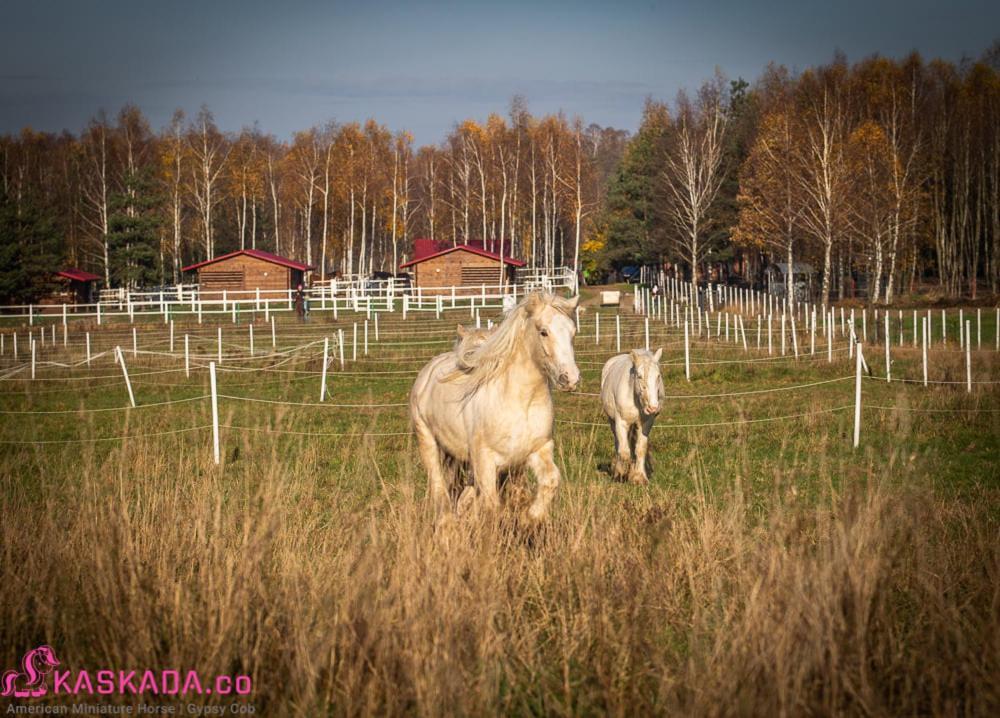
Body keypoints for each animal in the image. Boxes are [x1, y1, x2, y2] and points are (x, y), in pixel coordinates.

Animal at [408, 292, 584, 524]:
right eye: (543, 331)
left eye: (573, 332)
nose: (569, 379)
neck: (520, 402)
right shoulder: (485, 460)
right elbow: (489, 504)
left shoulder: (537, 450)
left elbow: (550, 480)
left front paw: (530, 518)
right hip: (427, 441)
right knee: (438, 486)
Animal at [600, 348, 664, 484]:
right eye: (639, 376)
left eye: (658, 376)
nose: (653, 408)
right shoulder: (621, 422)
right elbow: (624, 451)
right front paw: (620, 475)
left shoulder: (646, 424)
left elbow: (640, 448)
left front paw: (639, 477)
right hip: (613, 422)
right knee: (618, 444)